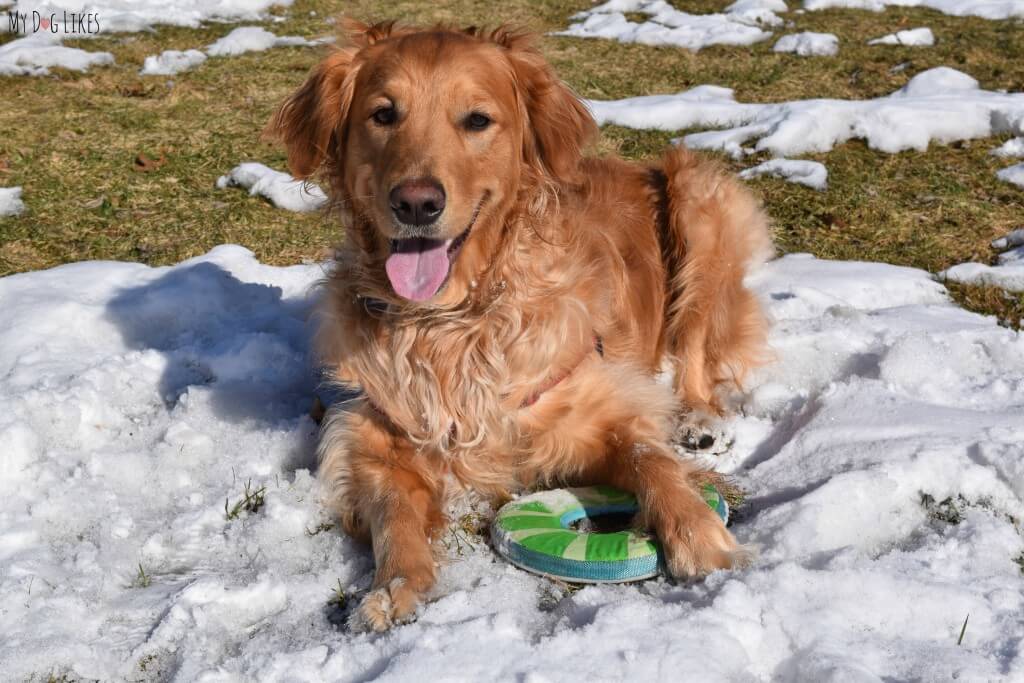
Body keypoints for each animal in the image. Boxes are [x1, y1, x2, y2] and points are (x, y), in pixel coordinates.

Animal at [268, 20, 770, 630]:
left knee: (696, 349)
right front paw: (394, 586)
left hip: (701, 200)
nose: (416, 203)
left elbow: (652, 461)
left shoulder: (607, 406)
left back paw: (699, 418)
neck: (451, 322)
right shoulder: (367, 433)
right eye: (383, 114)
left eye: (477, 120)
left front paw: (702, 537)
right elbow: (393, 511)